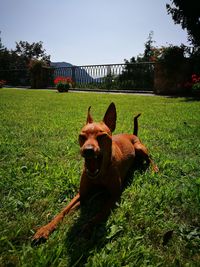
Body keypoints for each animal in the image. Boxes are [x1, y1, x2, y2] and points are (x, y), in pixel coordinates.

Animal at [32, 102, 158, 243]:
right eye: (81, 136)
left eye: (102, 136)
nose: (87, 150)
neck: (100, 174)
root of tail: (132, 134)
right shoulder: (82, 193)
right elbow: (64, 210)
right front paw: (45, 228)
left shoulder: (114, 195)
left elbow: (100, 213)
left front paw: (87, 228)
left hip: (139, 147)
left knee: (150, 158)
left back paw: (154, 169)